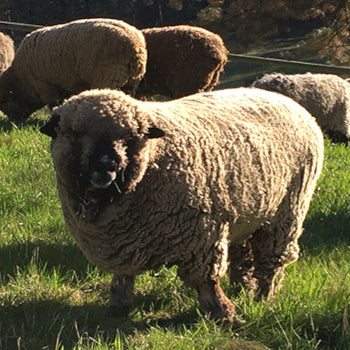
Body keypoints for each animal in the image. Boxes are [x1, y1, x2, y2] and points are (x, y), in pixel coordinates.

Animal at [0, 19, 146, 123]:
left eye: (5, 102)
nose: (14, 121)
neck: (21, 79)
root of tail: (137, 47)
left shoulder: (45, 85)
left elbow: (54, 104)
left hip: (110, 77)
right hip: (131, 82)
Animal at [40, 87, 322, 322]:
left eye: (131, 137)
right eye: (75, 134)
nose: (106, 165)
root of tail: (288, 101)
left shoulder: (203, 236)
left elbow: (207, 282)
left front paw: (224, 314)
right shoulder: (123, 241)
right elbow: (123, 276)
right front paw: (117, 307)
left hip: (286, 213)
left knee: (271, 262)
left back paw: (264, 297)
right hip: (247, 215)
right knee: (244, 256)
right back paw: (243, 288)